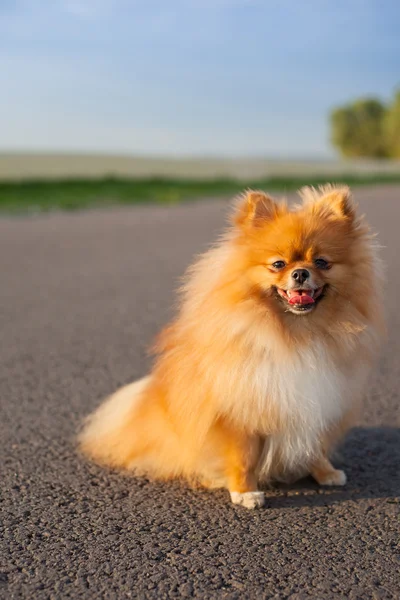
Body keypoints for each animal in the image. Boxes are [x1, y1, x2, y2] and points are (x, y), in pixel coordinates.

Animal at [79, 185, 384, 508]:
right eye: (278, 264)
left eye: (322, 262)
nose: (301, 273)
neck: (297, 333)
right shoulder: (239, 413)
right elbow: (244, 457)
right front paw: (245, 492)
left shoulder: (318, 401)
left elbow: (316, 445)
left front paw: (325, 472)